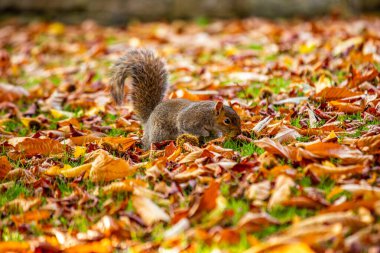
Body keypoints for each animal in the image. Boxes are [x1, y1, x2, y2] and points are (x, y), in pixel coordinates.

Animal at [110, 48, 240, 148]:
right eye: (227, 121)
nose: (239, 133)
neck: (210, 115)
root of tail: (148, 120)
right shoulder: (190, 119)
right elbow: (189, 127)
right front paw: (204, 133)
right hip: (158, 134)